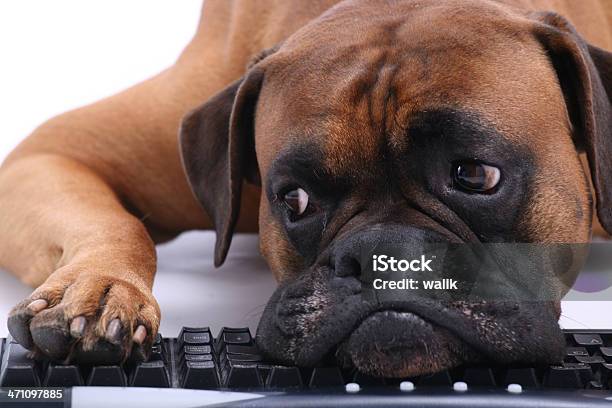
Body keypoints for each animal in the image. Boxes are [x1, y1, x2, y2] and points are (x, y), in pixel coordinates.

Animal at [0, 0, 608, 376]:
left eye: (476, 175)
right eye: (294, 199)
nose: (383, 255)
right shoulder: (50, 155)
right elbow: (118, 224)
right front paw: (99, 289)